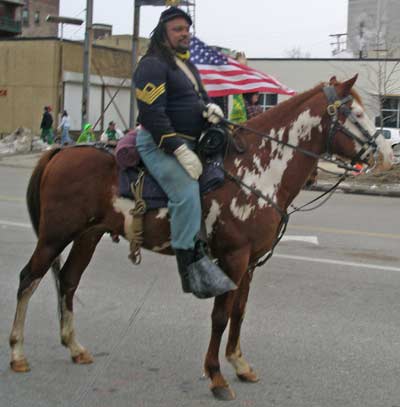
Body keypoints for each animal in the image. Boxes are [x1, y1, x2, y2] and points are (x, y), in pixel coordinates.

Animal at [8, 75, 390, 402]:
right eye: (357, 114)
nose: (385, 155)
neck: (257, 170)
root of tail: (61, 151)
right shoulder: (232, 257)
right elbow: (220, 316)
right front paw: (217, 376)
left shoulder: (250, 262)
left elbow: (239, 312)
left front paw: (239, 364)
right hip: (54, 236)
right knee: (28, 279)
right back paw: (17, 352)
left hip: (88, 235)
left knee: (69, 281)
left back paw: (74, 347)